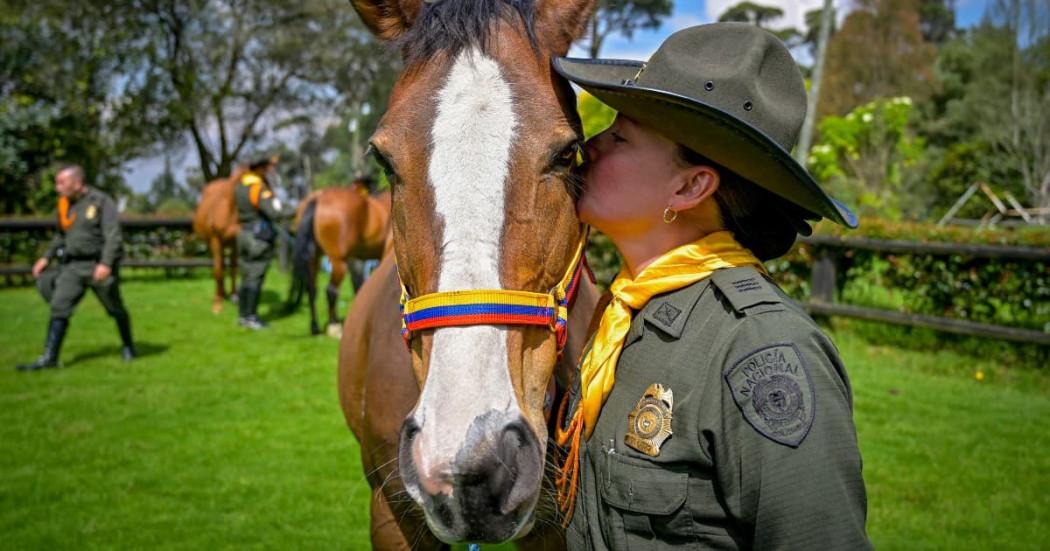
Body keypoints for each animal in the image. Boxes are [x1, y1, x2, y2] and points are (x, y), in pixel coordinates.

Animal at [192, 165, 248, 314]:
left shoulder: (235, 242)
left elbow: (234, 269)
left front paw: (234, 296)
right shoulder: (215, 241)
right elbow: (218, 270)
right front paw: (217, 303)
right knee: (220, 266)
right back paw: (221, 294)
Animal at [288, 180, 392, 337]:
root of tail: (317, 198)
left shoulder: (356, 259)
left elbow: (358, 284)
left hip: (315, 257)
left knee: (312, 289)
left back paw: (315, 327)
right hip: (338, 260)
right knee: (331, 290)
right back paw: (334, 325)